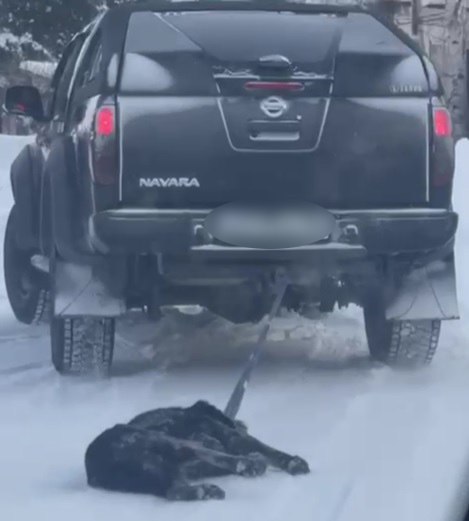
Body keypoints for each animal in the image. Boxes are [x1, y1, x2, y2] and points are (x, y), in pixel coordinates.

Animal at [85, 398, 308, 500]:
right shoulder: (232, 436)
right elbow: (269, 450)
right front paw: (293, 462)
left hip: (155, 470)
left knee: (174, 489)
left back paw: (206, 489)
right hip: (164, 441)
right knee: (202, 451)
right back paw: (248, 463)